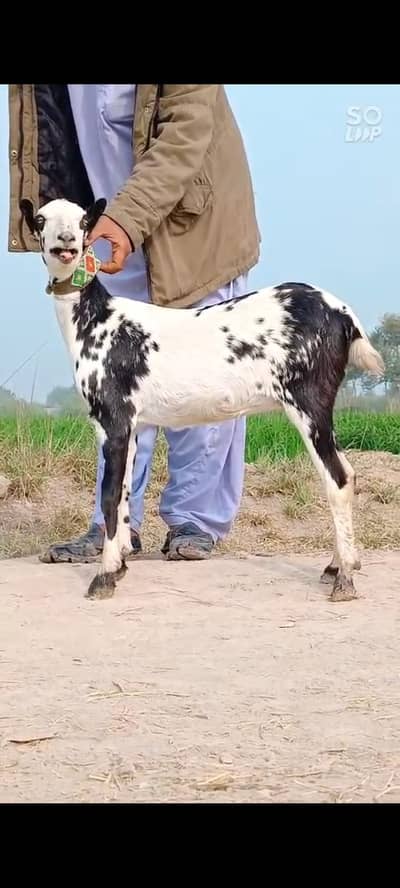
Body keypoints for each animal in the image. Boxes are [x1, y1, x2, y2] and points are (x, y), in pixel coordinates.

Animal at [20, 197, 384, 603]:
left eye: (84, 221)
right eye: (41, 219)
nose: (66, 242)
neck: (99, 320)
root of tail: (341, 312)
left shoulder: (112, 418)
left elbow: (110, 495)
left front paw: (105, 576)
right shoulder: (134, 425)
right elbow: (126, 491)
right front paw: (121, 564)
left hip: (310, 401)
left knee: (338, 478)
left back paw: (345, 580)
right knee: (348, 472)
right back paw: (337, 565)